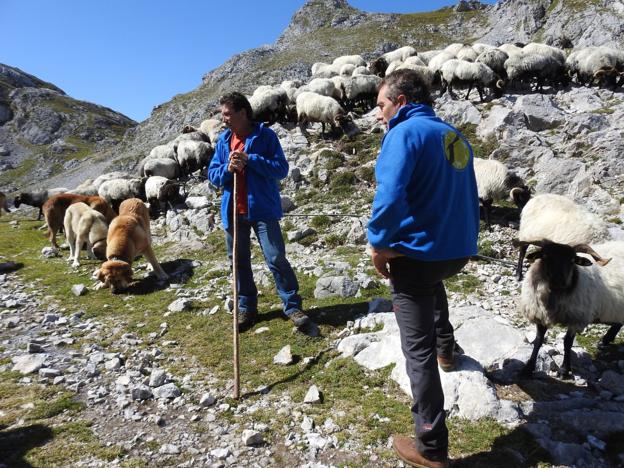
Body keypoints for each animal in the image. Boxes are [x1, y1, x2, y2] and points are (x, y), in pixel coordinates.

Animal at [516, 239, 624, 378]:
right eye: (545, 256)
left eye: (573, 260)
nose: (559, 280)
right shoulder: (541, 315)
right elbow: (538, 341)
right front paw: (528, 368)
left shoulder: (576, 319)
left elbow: (567, 343)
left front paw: (564, 370)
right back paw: (605, 340)